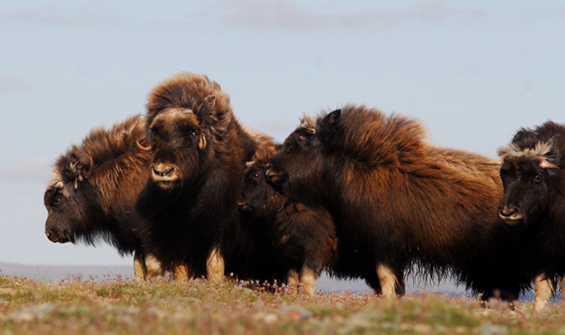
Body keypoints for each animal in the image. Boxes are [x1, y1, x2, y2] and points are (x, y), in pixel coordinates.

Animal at [134, 73, 280, 284]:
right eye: (155, 132)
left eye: (193, 132)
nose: (163, 171)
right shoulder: (179, 234)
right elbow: (181, 266)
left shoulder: (221, 226)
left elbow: (215, 263)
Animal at [238, 147, 334, 296]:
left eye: (256, 175)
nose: (240, 202)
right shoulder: (289, 254)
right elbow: (293, 279)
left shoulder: (315, 249)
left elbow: (306, 278)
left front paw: (308, 297)